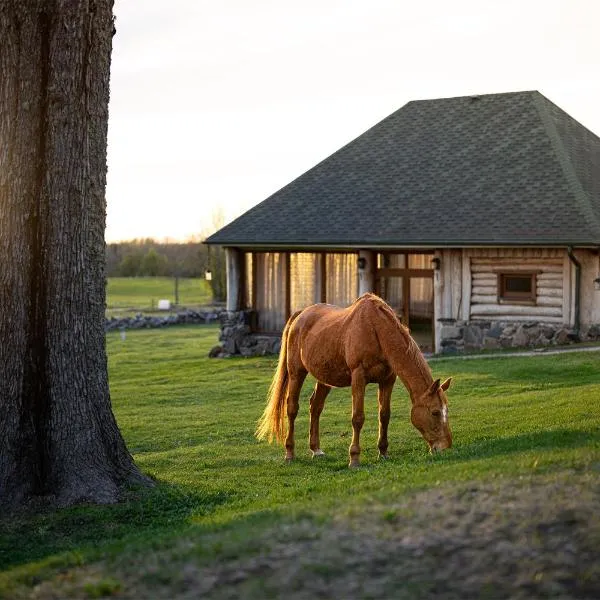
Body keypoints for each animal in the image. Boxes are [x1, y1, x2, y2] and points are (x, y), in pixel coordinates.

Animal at [255, 292, 452, 466]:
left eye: (446, 410)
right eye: (435, 412)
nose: (446, 447)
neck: (376, 330)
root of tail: (300, 315)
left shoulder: (387, 380)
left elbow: (384, 415)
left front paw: (383, 452)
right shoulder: (359, 377)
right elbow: (357, 417)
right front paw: (354, 458)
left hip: (325, 378)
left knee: (316, 407)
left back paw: (316, 449)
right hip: (296, 373)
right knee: (292, 408)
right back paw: (289, 453)